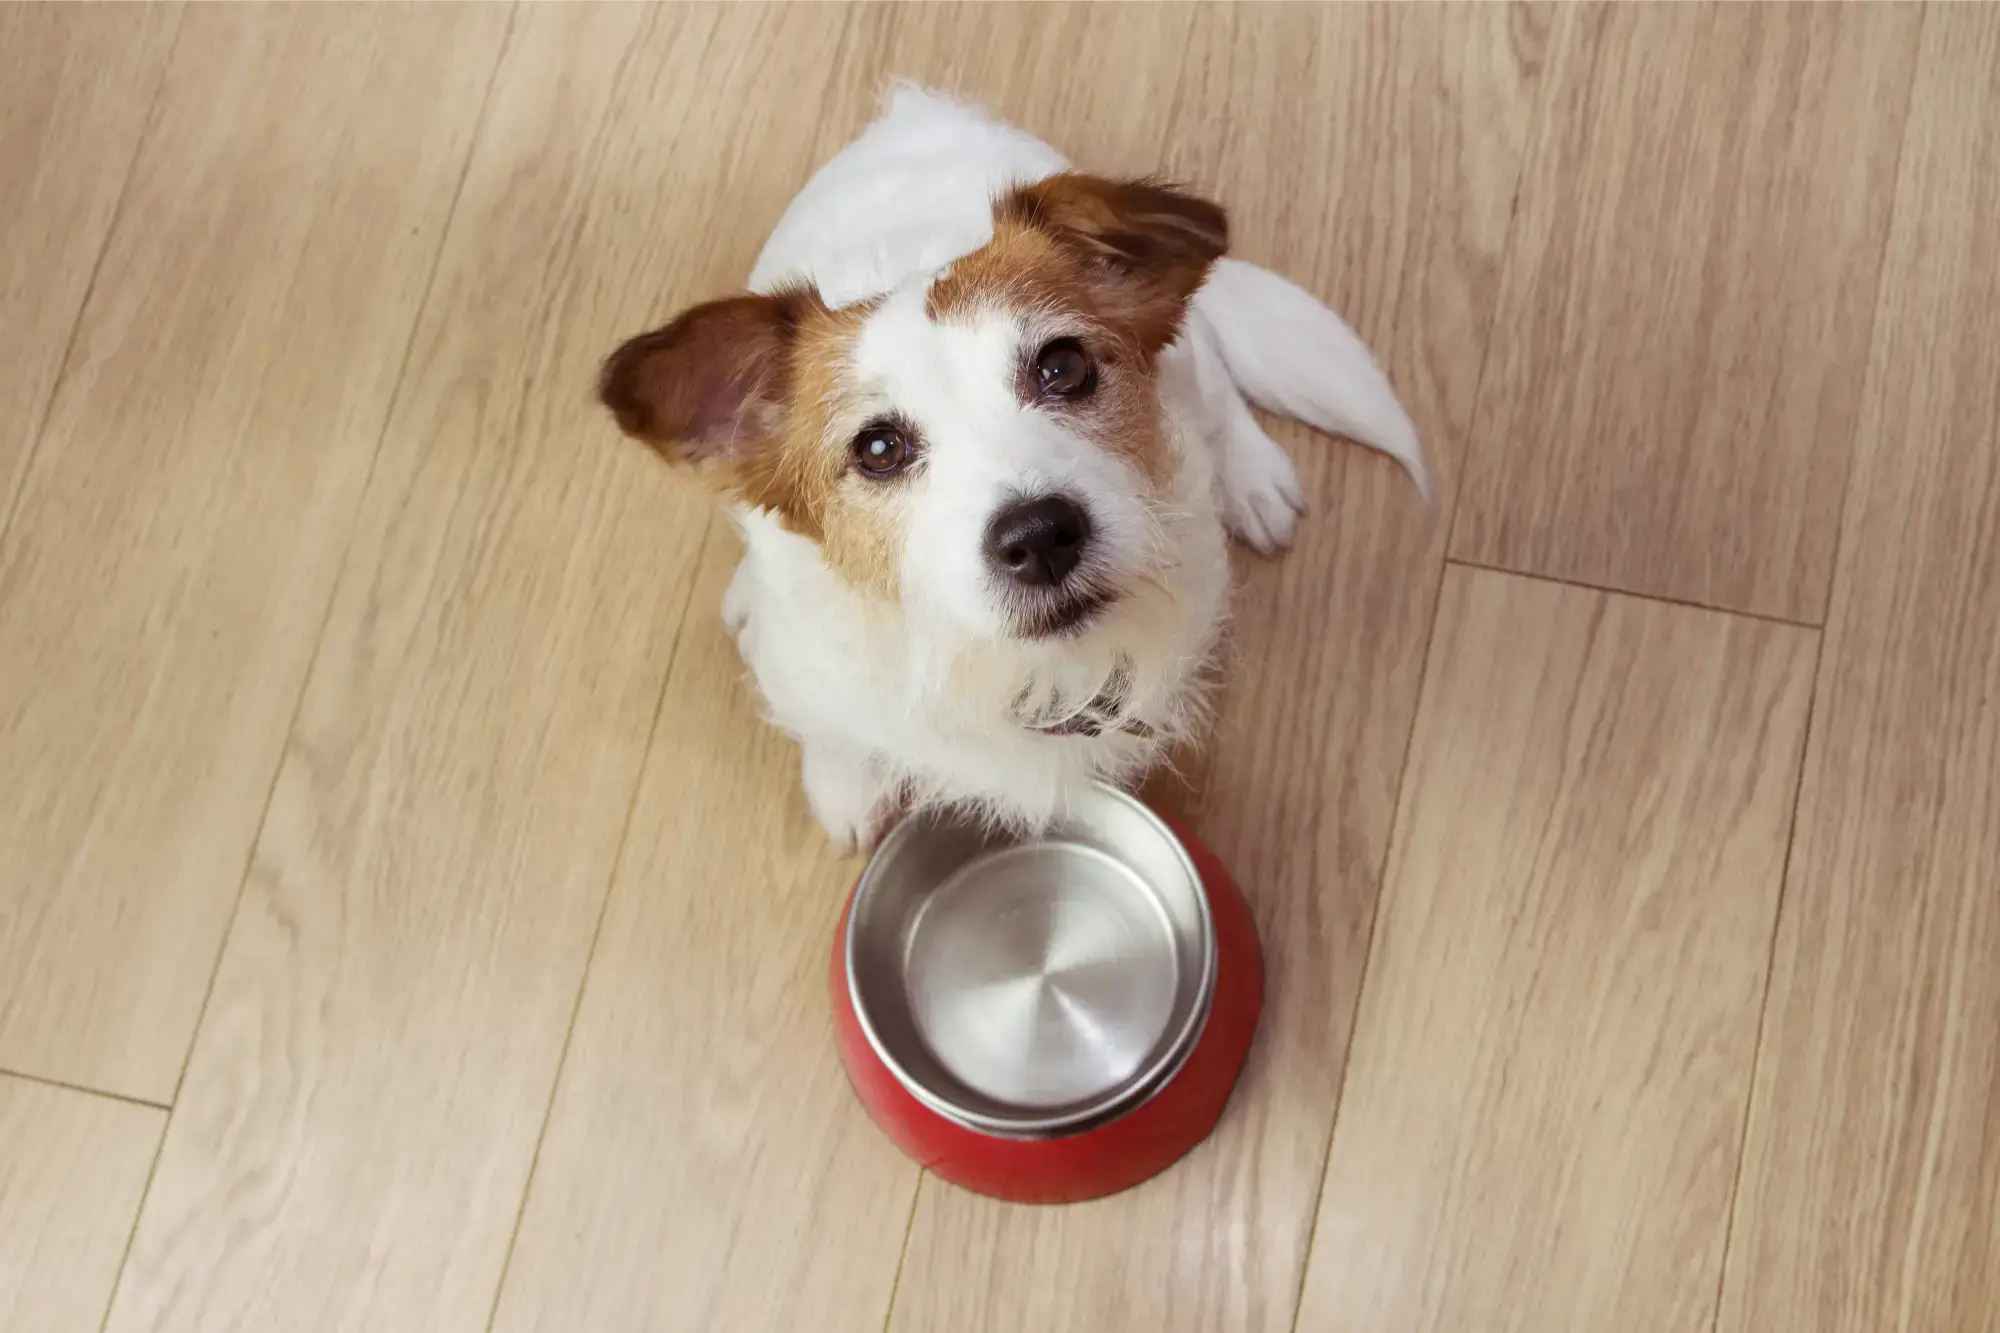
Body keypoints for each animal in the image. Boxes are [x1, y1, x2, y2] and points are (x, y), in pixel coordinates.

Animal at [592, 85, 1424, 852]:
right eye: (878, 449)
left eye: (1063, 366)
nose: (1040, 535)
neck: (1005, 667)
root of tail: (916, 108)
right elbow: (830, 730)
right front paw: (845, 787)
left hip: (1190, 354)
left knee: (1218, 381)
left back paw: (1253, 478)